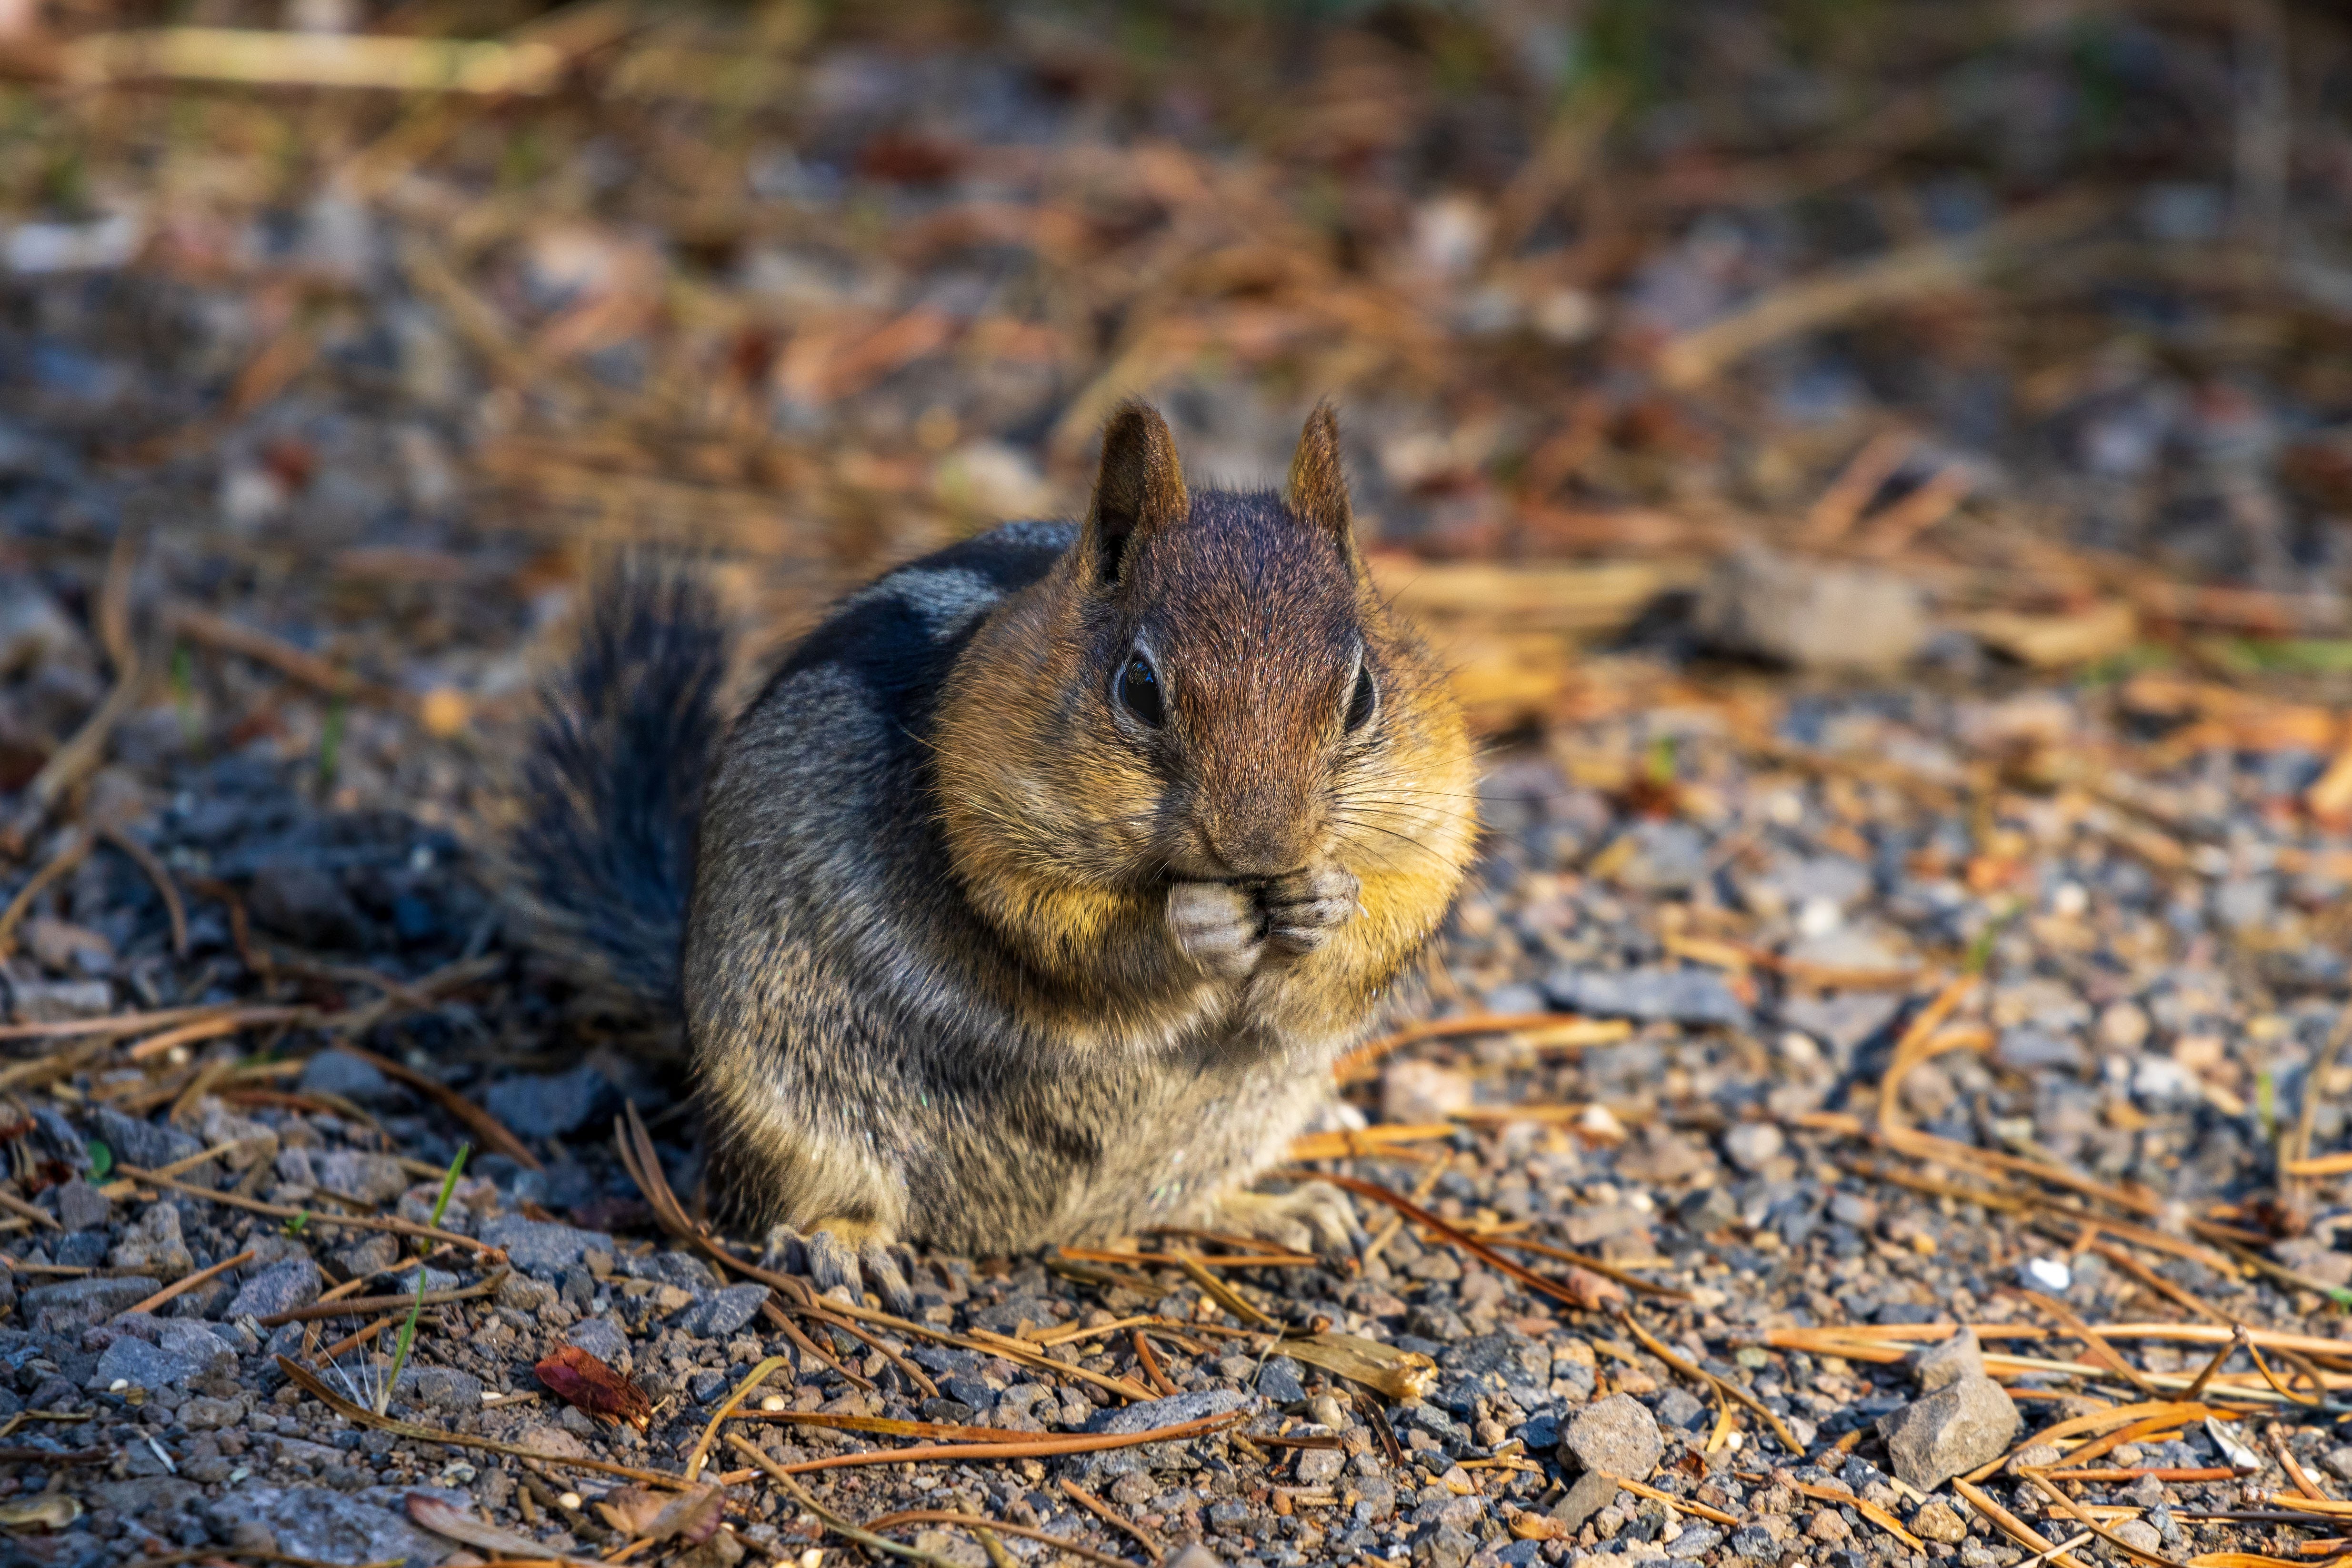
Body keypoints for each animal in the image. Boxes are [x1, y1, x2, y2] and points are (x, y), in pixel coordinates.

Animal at [520, 399, 1467, 1307]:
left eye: (1361, 694)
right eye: (1139, 686)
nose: (1262, 847)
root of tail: (1033, 1229)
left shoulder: (1436, 811)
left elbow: (1402, 903)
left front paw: (1327, 904)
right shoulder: (986, 813)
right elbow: (1054, 926)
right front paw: (1194, 922)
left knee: (1176, 1199)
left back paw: (1282, 1208)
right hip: (780, 1090)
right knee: (811, 1191)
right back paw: (845, 1242)